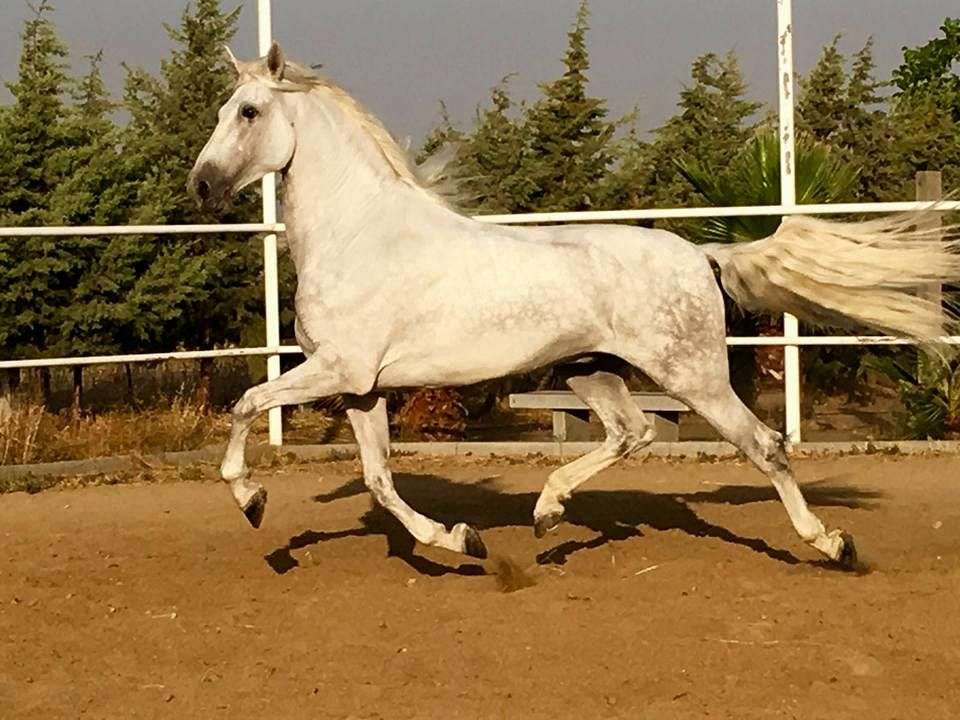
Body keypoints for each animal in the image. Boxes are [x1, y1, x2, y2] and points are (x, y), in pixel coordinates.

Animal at [189, 43, 960, 569]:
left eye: (249, 112)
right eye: (223, 111)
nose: (201, 185)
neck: (359, 233)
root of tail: (701, 257)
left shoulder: (338, 370)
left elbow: (247, 404)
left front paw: (251, 501)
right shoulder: (361, 387)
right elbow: (379, 481)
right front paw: (460, 540)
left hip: (692, 375)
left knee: (762, 445)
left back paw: (832, 544)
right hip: (592, 370)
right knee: (633, 433)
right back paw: (547, 512)